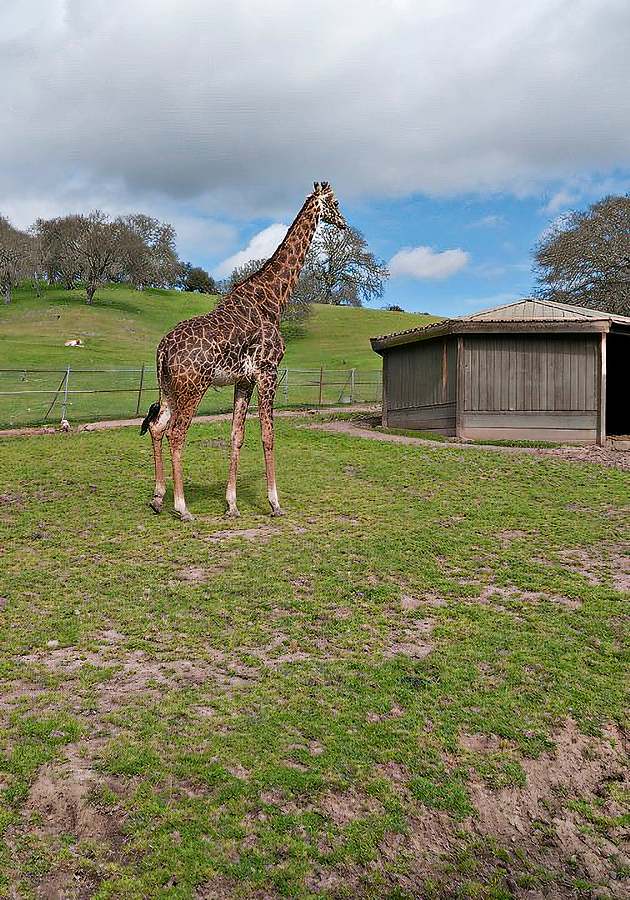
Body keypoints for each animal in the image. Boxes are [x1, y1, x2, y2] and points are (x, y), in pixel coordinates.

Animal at [141, 181, 348, 520]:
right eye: (336, 203)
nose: (344, 223)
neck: (274, 299)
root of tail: (162, 349)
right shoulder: (268, 372)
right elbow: (268, 435)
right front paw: (275, 503)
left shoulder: (244, 380)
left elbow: (236, 436)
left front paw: (232, 505)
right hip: (193, 387)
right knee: (176, 433)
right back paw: (182, 507)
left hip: (168, 388)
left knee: (157, 427)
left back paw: (158, 499)